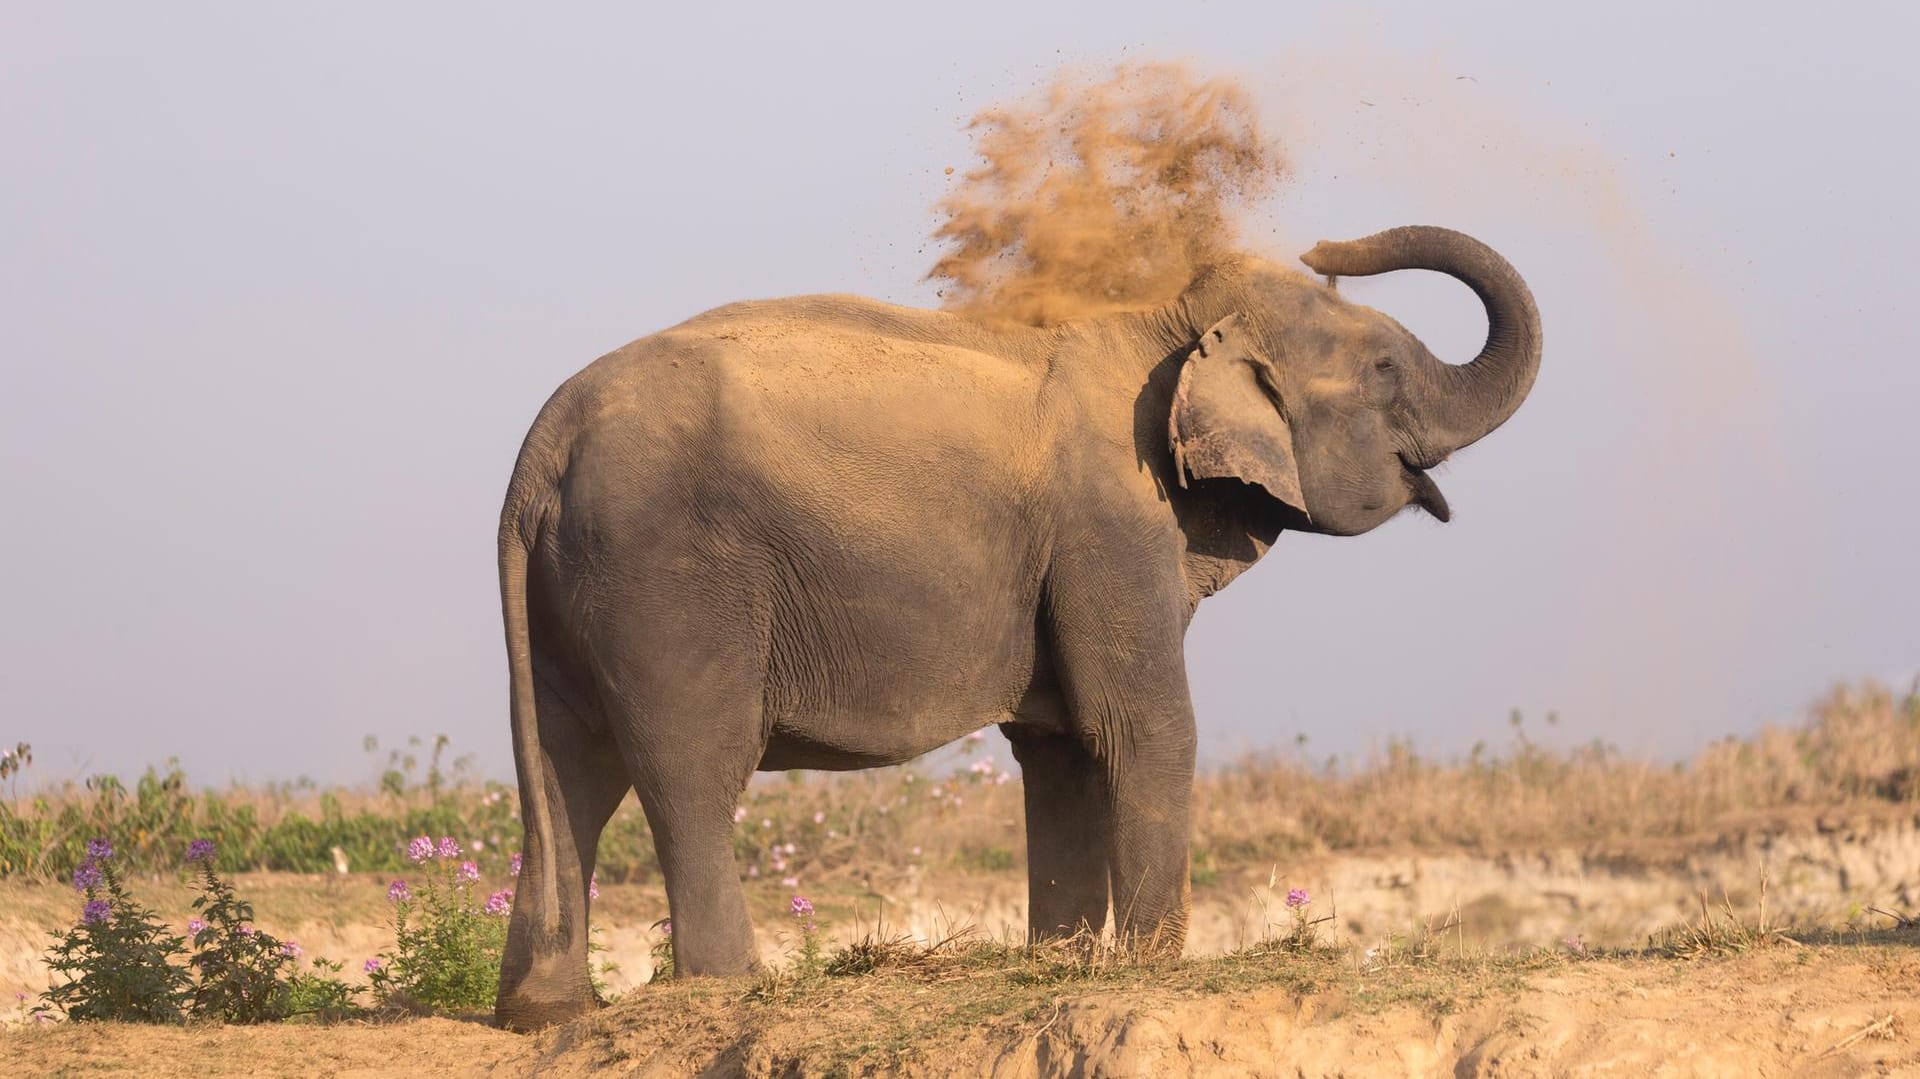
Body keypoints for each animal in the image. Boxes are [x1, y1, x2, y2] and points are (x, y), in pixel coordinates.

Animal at [491, 220, 1543, 1021]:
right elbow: (1144, 727)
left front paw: (1061, 964)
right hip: (667, 579)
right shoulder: (1110, 523)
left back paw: (545, 1013)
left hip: (575, 593)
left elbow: (1063, 743)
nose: (1330, 247)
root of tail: (544, 443)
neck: (1162, 325)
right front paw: (1154, 971)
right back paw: (729, 988)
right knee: (690, 770)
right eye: (1384, 368)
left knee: (567, 769)